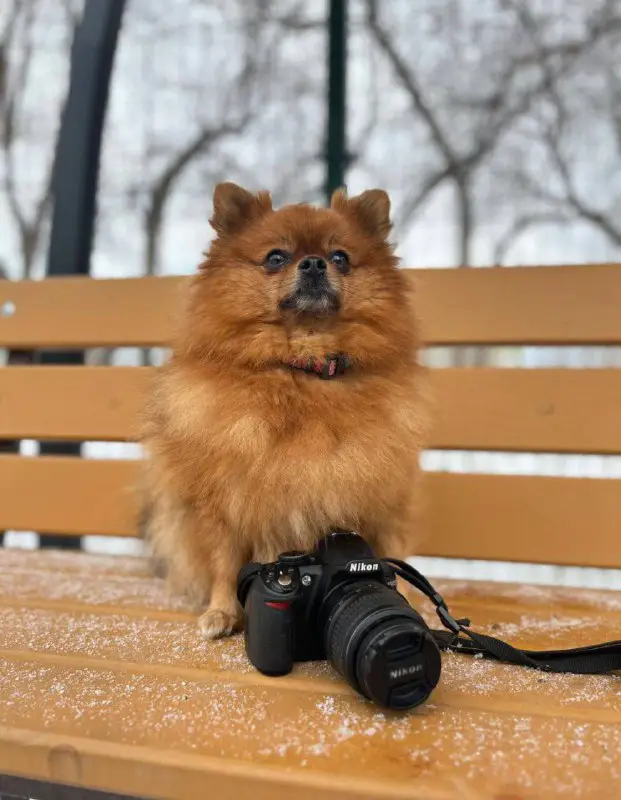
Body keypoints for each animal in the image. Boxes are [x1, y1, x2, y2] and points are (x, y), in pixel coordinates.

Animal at [142, 181, 426, 636]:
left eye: (340, 257)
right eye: (276, 257)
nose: (313, 263)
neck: (304, 367)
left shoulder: (379, 503)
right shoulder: (226, 502)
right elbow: (224, 564)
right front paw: (222, 613)